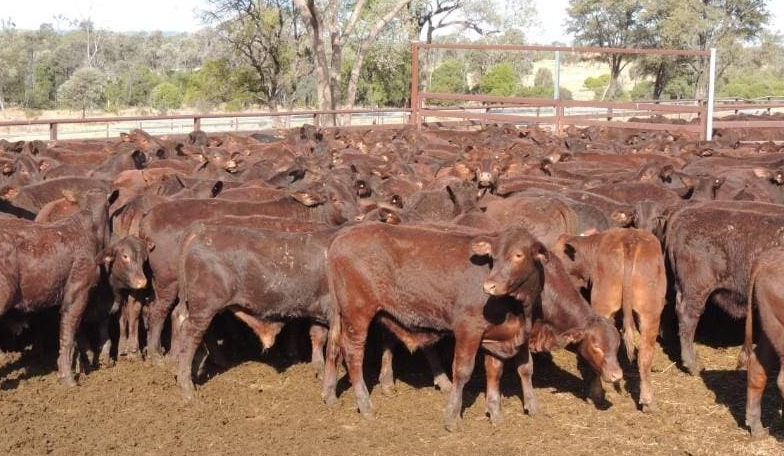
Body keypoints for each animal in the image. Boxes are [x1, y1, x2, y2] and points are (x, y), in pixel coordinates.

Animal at [555, 228, 667, 412]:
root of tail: (630, 241)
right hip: (651, 312)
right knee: (645, 354)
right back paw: (648, 402)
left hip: (604, 305)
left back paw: (595, 395)